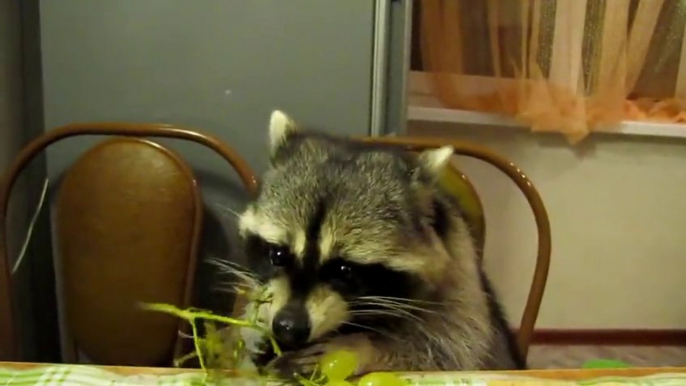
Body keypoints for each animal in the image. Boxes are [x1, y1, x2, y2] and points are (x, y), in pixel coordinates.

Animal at [236, 110, 528, 376]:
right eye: (277, 255)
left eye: (344, 270)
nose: (288, 327)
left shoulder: (461, 287)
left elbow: (450, 351)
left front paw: (362, 348)